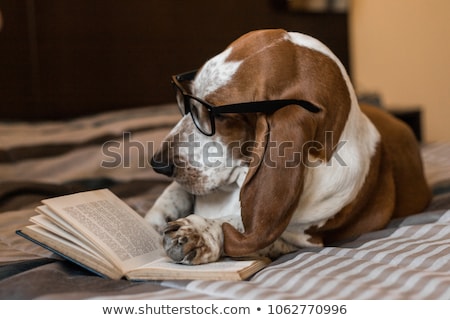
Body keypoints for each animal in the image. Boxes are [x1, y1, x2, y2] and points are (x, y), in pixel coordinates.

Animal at [146, 29, 430, 264]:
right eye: (185, 100)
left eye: (219, 116)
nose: (158, 164)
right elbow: (173, 195)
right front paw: (149, 224)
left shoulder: (305, 240)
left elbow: (248, 231)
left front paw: (202, 231)